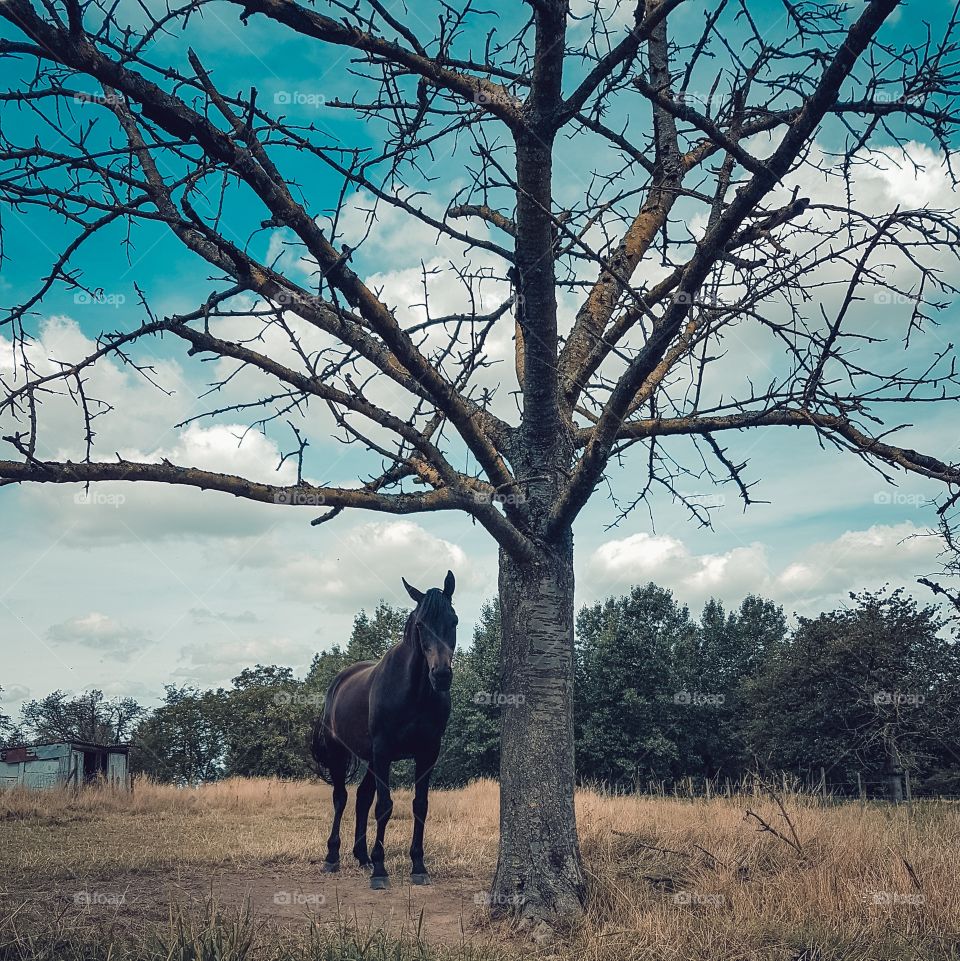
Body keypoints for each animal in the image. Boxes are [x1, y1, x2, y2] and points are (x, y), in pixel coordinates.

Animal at [311, 570, 457, 889]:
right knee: (341, 798)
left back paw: (362, 857)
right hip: (343, 753)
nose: (441, 675)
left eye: (453, 620)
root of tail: (338, 680)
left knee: (362, 798)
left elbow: (420, 805)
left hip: (371, 759)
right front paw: (380, 871)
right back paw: (333, 858)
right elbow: (384, 807)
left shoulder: (427, 753)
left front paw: (418, 866)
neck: (413, 692)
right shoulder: (384, 751)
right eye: (420, 625)